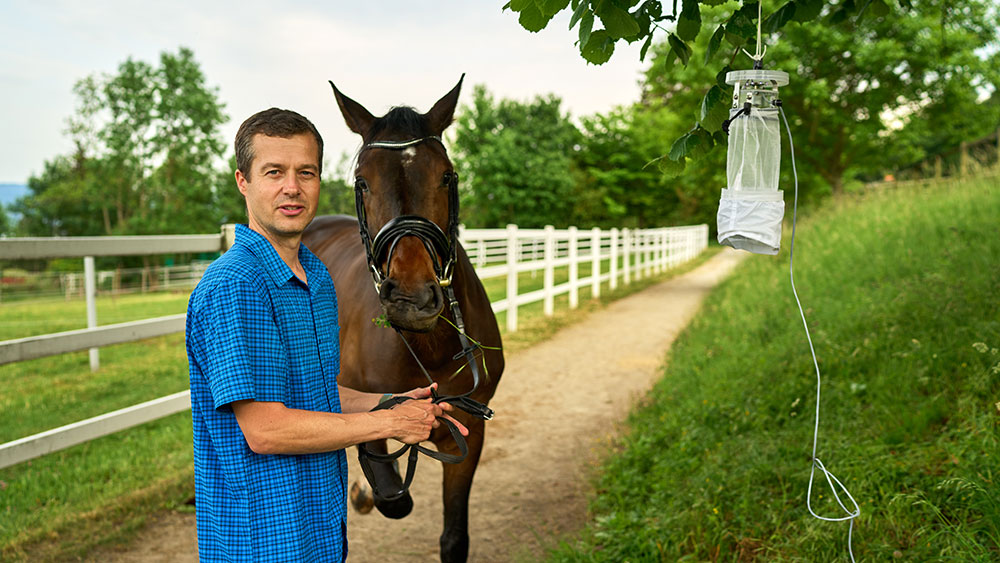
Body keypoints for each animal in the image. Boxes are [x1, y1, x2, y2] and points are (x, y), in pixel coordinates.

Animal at [300, 76, 504, 563]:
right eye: (362, 181)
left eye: (447, 175)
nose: (412, 298)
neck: (428, 345)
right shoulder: (364, 413)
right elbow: (394, 496)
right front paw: (364, 490)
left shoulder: (466, 434)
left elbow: (454, 538)